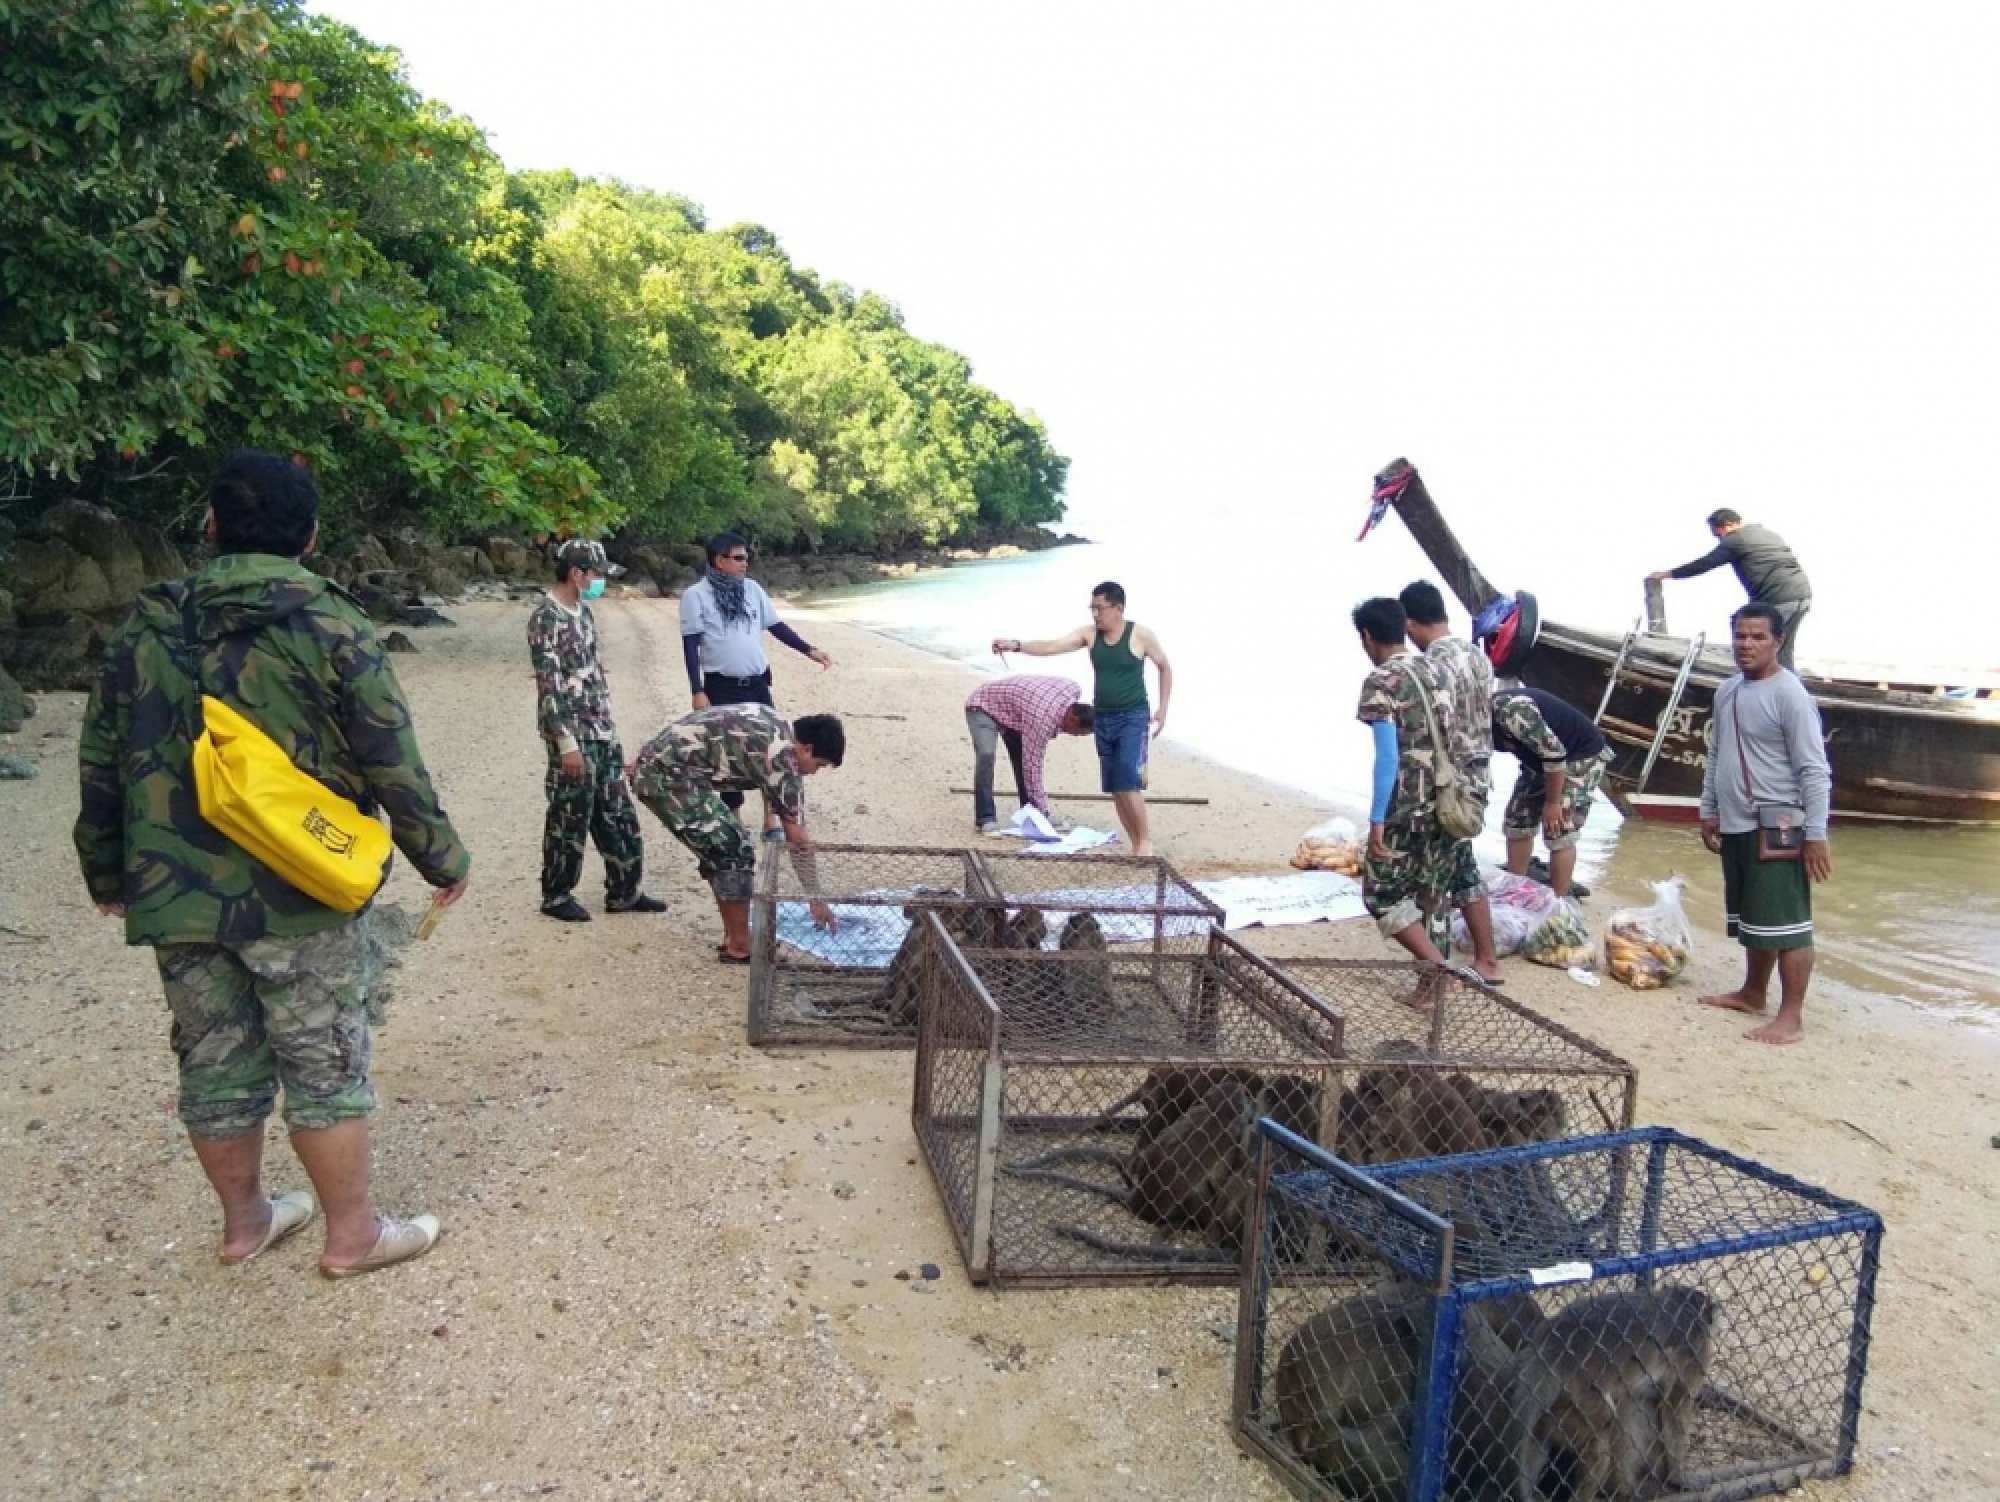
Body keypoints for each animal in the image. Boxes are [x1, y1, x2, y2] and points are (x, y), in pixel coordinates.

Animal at [1511, 1285, 1717, 1502]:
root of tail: (1552, 1348)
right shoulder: (1696, 1349)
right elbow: (1675, 1407)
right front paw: (1678, 1477)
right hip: (1583, 1394)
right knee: (1605, 1429)